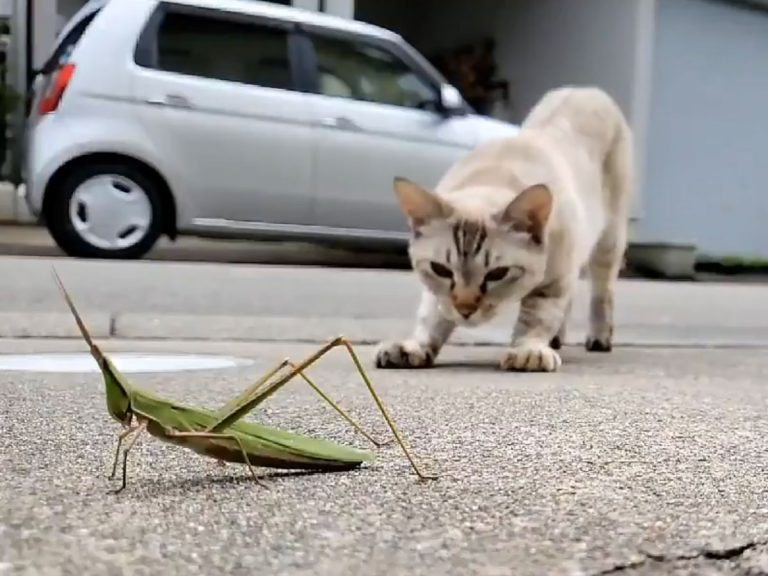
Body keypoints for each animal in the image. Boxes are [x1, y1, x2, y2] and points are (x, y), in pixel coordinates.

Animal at [376, 85, 632, 374]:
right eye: (441, 269)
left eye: (497, 274)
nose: (465, 309)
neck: (494, 173)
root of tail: (585, 89)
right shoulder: (437, 291)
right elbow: (431, 316)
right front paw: (414, 346)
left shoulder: (554, 281)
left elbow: (537, 318)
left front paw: (528, 350)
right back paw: (556, 339)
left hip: (608, 242)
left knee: (601, 292)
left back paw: (599, 337)